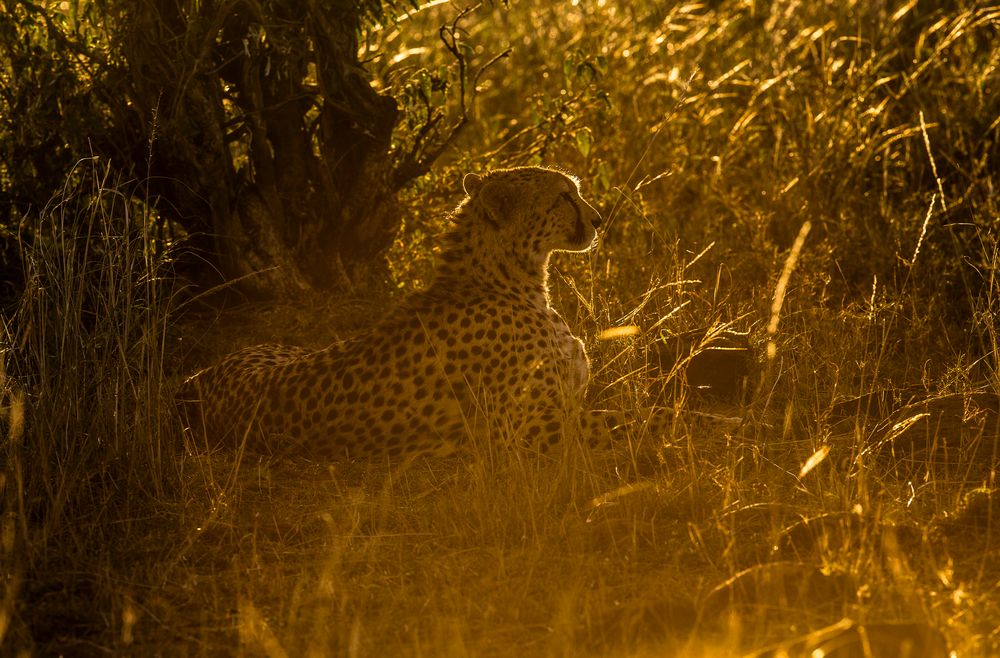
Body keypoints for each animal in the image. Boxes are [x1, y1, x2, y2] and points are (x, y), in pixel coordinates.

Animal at [176, 167, 604, 458]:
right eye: (564, 197)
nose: (598, 219)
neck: (510, 278)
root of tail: (197, 378)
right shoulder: (536, 431)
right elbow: (616, 423)